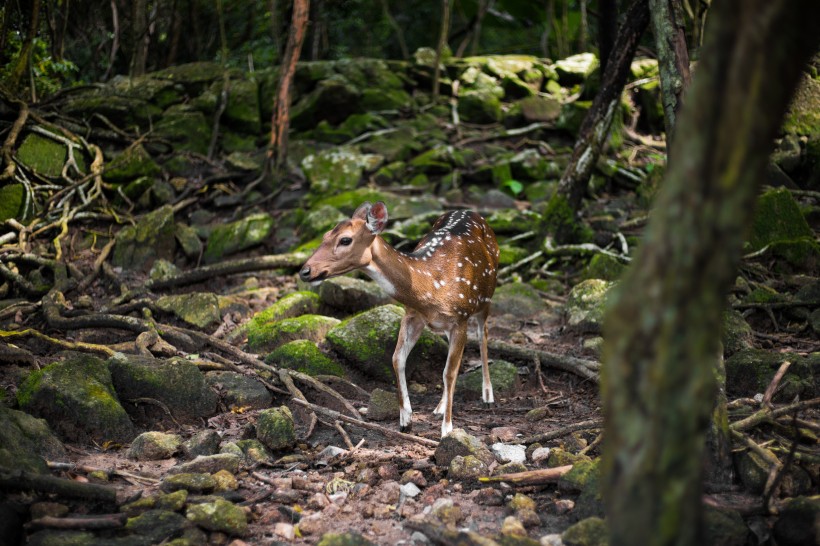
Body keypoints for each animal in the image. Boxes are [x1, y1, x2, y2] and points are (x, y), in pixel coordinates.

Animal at [298, 202, 496, 436]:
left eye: (345, 240)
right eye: (325, 235)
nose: (305, 271)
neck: (430, 288)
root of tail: (471, 211)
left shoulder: (460, 317)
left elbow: (449, 372)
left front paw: (447, 430)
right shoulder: (412, 315)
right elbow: (397, 358)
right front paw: (405, 419)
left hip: (485, 297)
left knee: (483, 336)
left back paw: (488, 395)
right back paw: (439, 407)